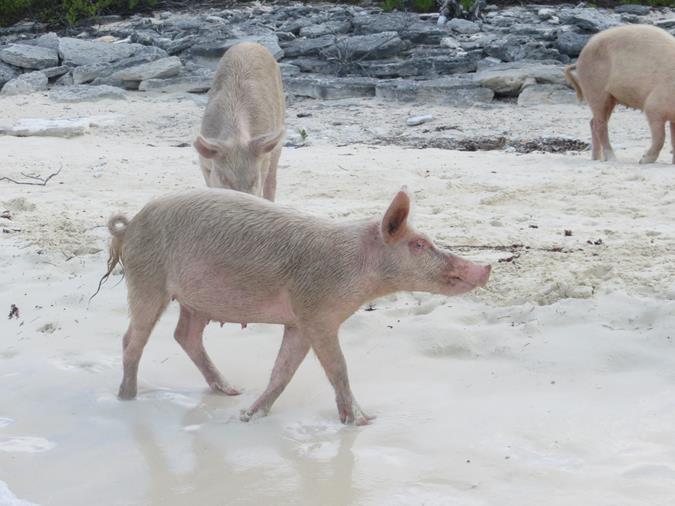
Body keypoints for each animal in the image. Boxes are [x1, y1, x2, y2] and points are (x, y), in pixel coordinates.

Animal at [100, 188, 492, 424]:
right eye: (419, 244)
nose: (486, 267)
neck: (355, 269)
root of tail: (129, 226)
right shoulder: (316, 312)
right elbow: (338, 368)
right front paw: (363, 422)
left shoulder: (299, 322)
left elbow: (283, 371)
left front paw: (248, 415)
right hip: (148, 278)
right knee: (132, 338)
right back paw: (127, 398)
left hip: (193, 301)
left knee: (185, 335)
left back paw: (230, 391)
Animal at [193, 42, 286, 200]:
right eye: (225, 179)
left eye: (254, 179)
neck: (236, 137)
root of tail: (249, 43)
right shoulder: (204, 162)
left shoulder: (263, 160)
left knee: (272, 178)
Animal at [564, 25, 675, 164]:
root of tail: (580, 57)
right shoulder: (654, 106)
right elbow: (660, 136)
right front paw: (643, 160)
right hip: (595, 87)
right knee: (600, 124)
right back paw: (612, 158)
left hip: (610, 98)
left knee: (593, 122)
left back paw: (597, 158)